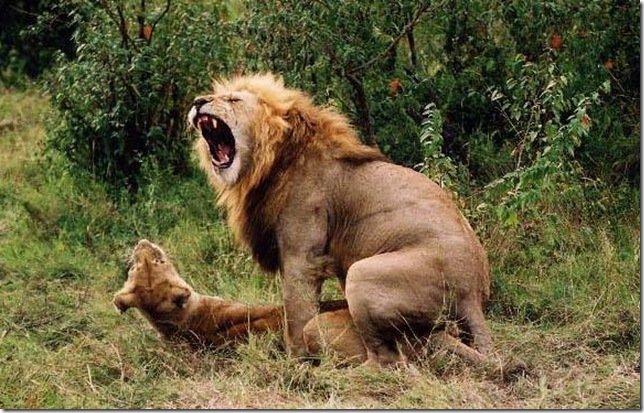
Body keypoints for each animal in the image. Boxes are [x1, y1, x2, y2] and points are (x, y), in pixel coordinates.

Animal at [113, 239, 492, 367]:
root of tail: (427, 338)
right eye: (158, 261)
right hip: (319, 329)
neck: (184, 325)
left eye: (145, 263)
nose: (142, 243)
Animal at [187, 73, 493, 367]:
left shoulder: (302, 257)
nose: (198, 101)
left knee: (389, 361)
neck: (272, 161)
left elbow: (296, 314)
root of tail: (473, 294)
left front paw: (295, 362)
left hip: (362, 275)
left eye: (233, 99)